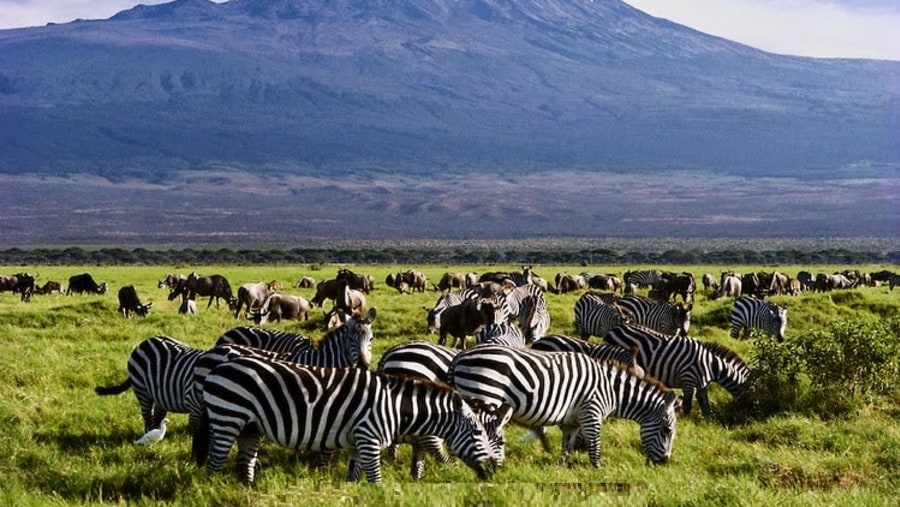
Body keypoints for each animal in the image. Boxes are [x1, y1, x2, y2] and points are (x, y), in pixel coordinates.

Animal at [194, 358, 506, 484]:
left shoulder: (358, 443)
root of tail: (218, 367)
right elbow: (375, 480)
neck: (397, 408)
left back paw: (247, 489)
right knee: (215, 462)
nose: (494, 471)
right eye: (477, 434)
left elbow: (354, 479)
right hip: (228, 417)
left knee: (245, 462)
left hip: (251, 427)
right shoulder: (369, 438)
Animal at [446, 346, 680, 468]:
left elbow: (567, 446)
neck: (611, 390)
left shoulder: (572, 421)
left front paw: (563, 468)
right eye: (667, 430)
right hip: (484, 394)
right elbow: (595, 444)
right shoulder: (591, 411)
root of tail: (460, 356)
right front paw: (598, 470)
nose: (665, 463)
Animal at [604, 326, 752, 416]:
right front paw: (687, 423)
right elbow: (687, 404)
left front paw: (708, 419)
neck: (711, 364)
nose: (745, 413)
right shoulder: (688, 379)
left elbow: (705, 404)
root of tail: (613, 330)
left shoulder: (702, 384)